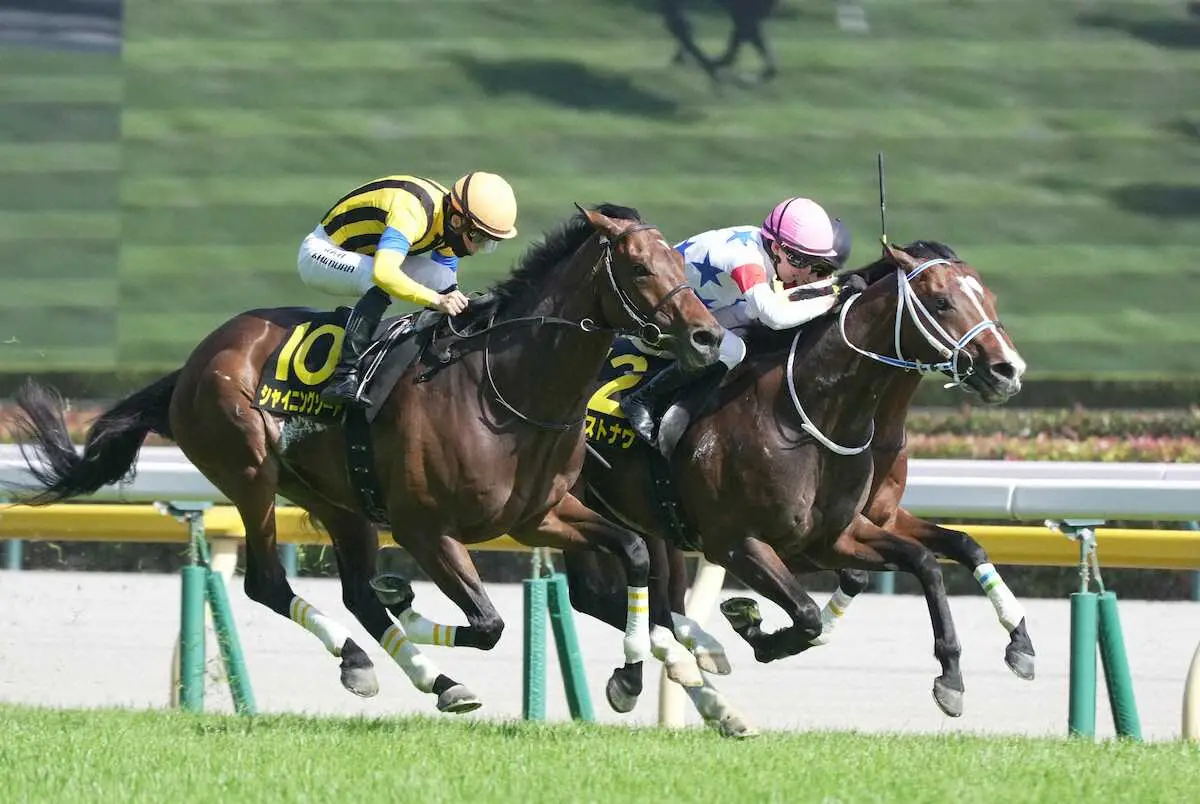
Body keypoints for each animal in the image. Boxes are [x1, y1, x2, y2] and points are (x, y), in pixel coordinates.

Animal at [4, 203, 724, 716]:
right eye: (640, 269)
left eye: (682, 266)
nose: (707, 336)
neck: (506, 387)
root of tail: (194, 362)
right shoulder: (425, 527)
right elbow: (488, 623)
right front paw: (410, 601)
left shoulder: (536, 517)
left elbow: (634, 551)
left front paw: (629, 675)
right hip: (250, 473)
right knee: (269, 582)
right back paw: (370, 658)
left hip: (338, 497)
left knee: (352, 590)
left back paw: (427, 675)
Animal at [561, 240, 1029, 735]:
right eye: (941, 302)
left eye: (990, 298)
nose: (1007, 369)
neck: (802, 416)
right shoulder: (738, 544)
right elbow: (807, 614)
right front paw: (754, 628)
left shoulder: (836, 535)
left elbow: (941, 554)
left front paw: (989, 658)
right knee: (603, 595)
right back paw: (680, 665)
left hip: (635, 517)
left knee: (622, 596)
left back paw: (705, 686)